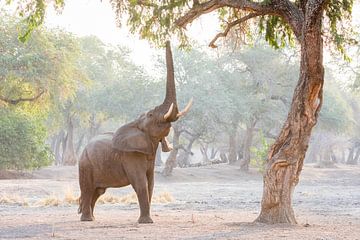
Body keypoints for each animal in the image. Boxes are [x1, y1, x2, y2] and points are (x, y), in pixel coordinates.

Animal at [77, 40, 193, 223]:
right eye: (151, 114)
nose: (166, 40)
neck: (136, 123)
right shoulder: (130, 156)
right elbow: (141, 184)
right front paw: (146, 222)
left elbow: (150, 183)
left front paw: (146, 220)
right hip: (85, 164)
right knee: (88, 189)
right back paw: (87, 220)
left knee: (98, 191)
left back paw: (92, 218)